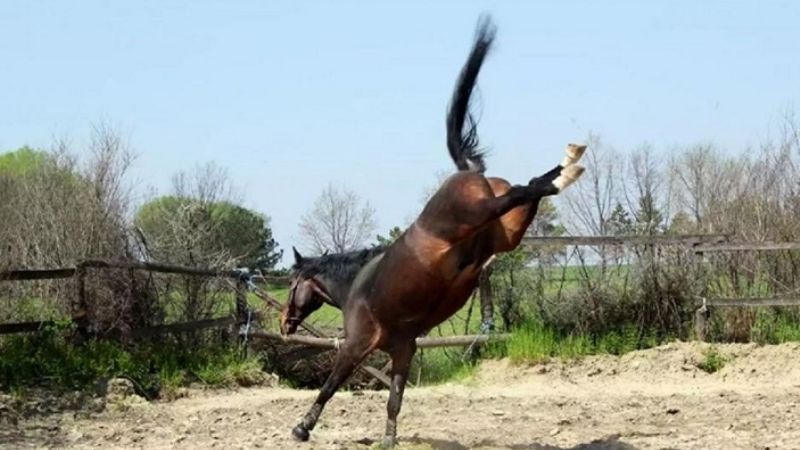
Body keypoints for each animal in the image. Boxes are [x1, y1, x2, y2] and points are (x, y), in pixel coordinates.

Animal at [281, 16, 586, 447]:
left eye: (292, 285)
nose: (285, 324)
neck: (356, 286)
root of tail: (468, 172)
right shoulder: (403, 349)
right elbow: (394, 400)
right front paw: (388, 440)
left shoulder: (357, 346)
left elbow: (329, 386)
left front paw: (302, 428)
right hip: (508, 235)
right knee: (530, 188)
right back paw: (570, 161)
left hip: (480, 213)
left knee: (527, 189)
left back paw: (569, 167)